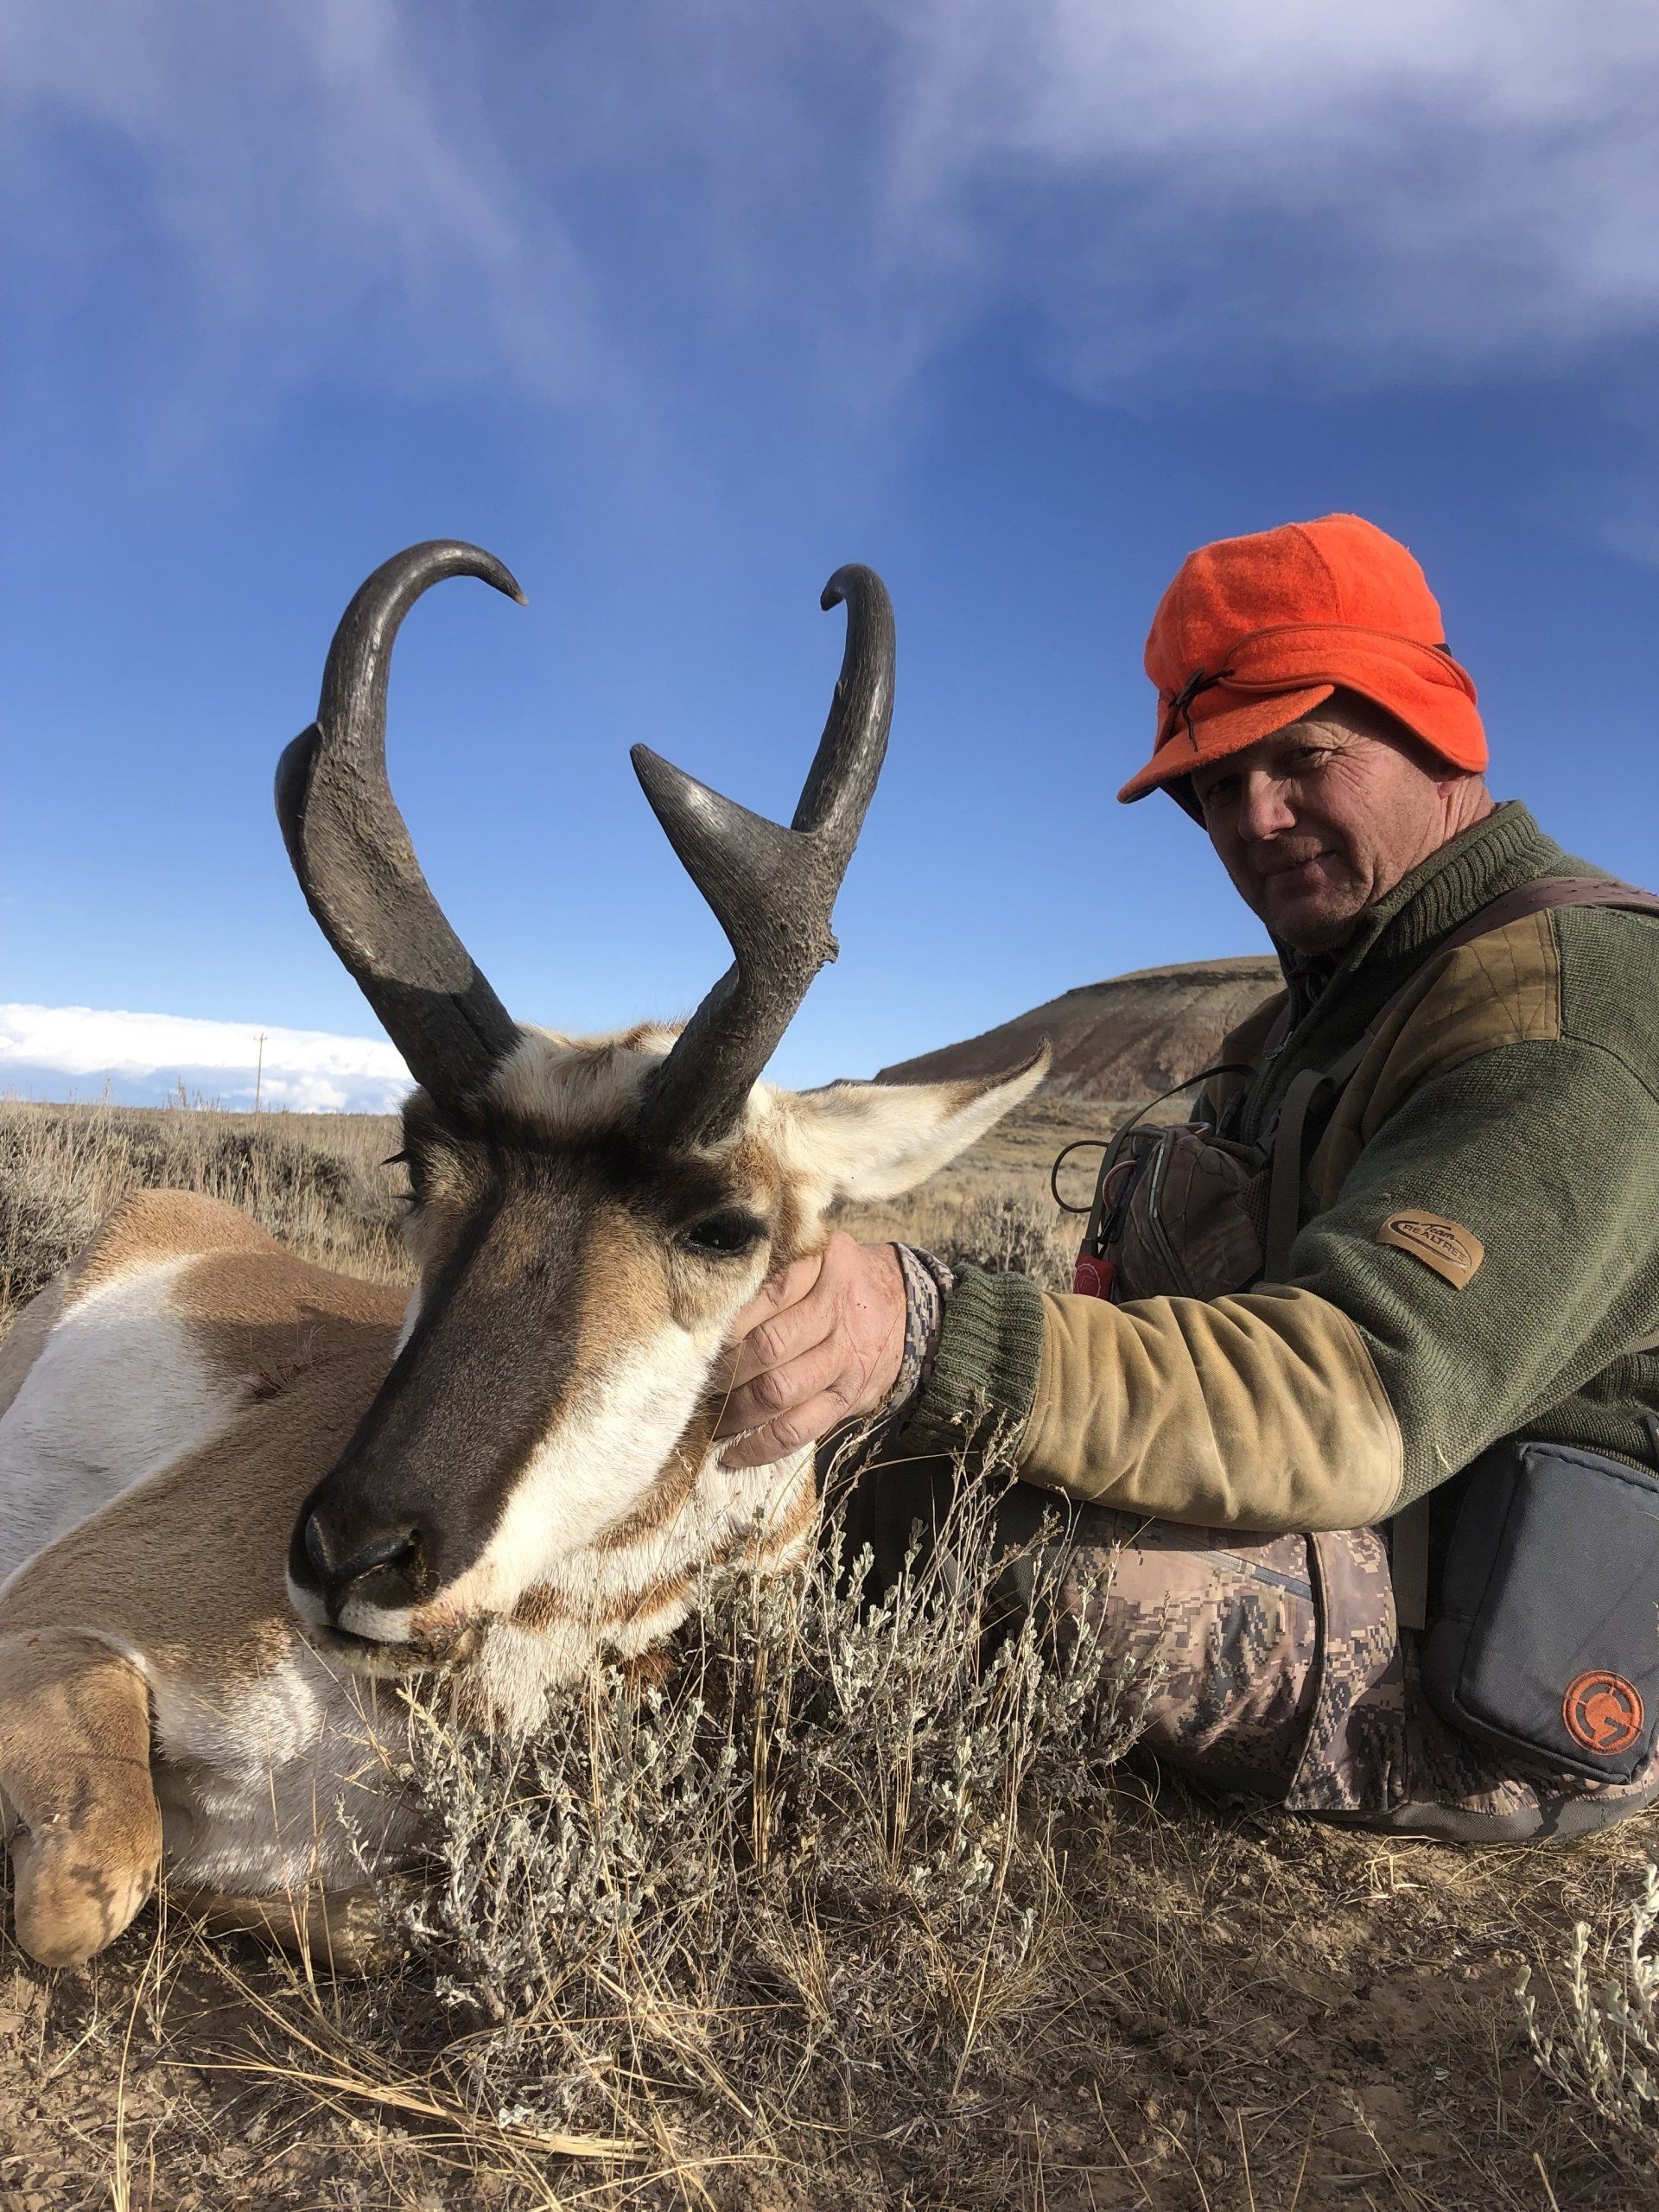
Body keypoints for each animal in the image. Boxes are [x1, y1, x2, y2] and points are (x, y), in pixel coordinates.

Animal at [0, 544, 1044, 1969]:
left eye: (724, 1226)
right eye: (414, 1164)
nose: (351, 1556)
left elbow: (311, 1909)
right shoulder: (46, 1621)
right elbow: (91, 1886)